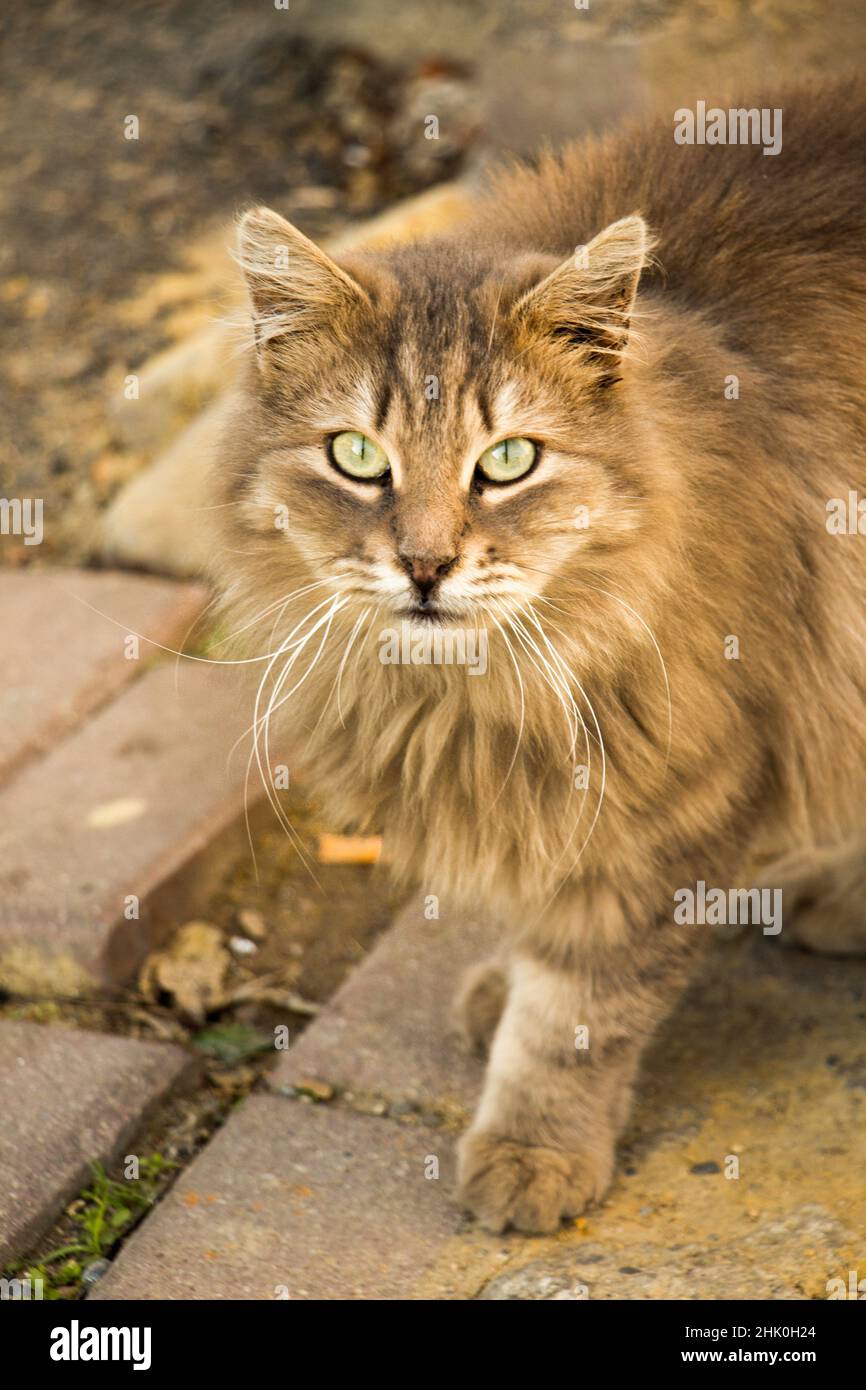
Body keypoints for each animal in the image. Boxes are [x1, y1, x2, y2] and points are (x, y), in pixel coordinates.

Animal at [214, 86, 866, 1234]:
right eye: (357, 457)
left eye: (509, 460)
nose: (425, 564)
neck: (463, 699)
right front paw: (495, 993)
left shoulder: (675, 799)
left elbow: (574, 1010)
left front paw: (531, 1148)